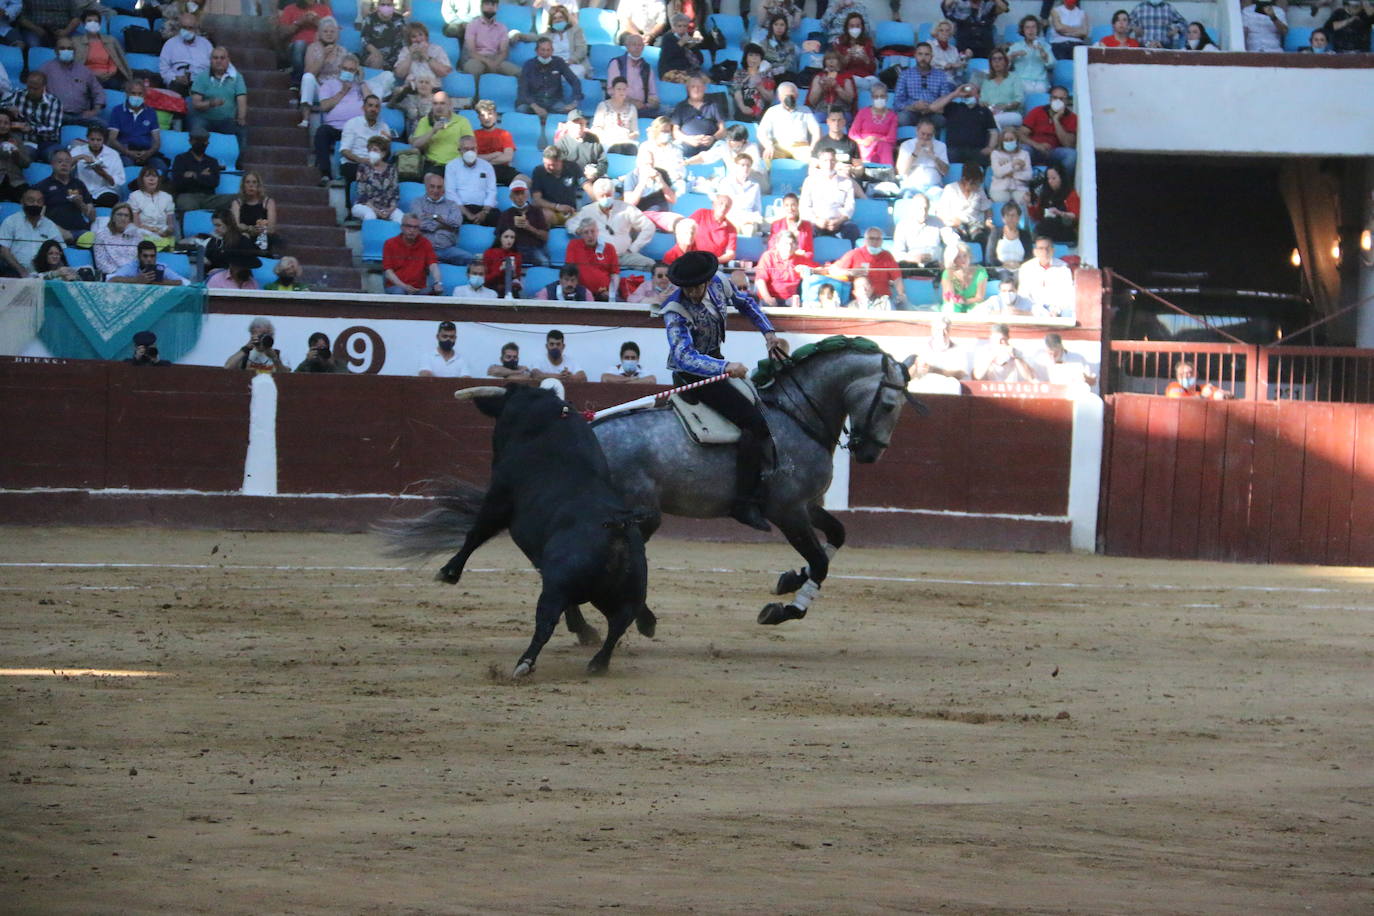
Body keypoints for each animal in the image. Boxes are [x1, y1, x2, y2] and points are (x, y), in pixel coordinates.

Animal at [376, 384, 654, 678]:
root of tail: (618, 526)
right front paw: (585, 631)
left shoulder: (499, 498)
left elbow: (476, 534)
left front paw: (448, 572)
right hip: (625, 595)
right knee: (618, 625)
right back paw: (599, 661)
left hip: (558, 587)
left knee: (546, 622)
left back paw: (525, 663)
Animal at [563, 335, 917, 631]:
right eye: (889, 405)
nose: (869, 453)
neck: (797, 414)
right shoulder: (787, 510)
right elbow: (819, 562)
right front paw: (784, 610)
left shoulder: (807, 504)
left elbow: (837, 535)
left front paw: (790, 578)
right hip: (641, 515)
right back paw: (609, 624)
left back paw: (587, 628)